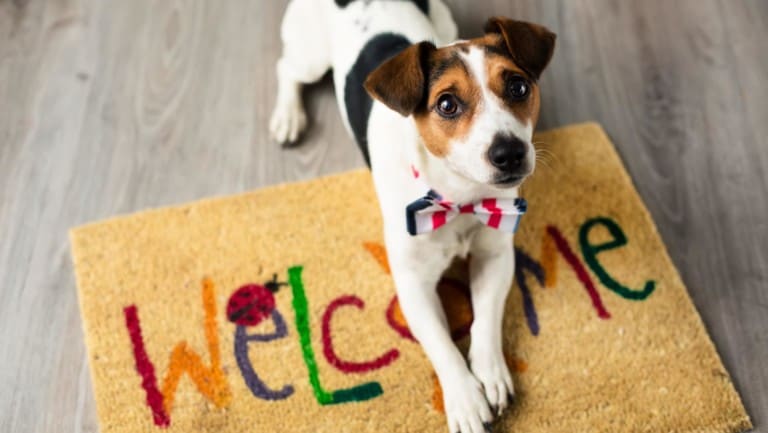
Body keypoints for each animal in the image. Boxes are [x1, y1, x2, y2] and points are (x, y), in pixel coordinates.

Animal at [272, 1, 556, 430]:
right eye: (447, 104)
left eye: (518, 87)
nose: (509, 152)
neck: (458, 196)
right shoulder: (413, 285)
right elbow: (441, 344)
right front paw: (465, 399)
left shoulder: (495, 256)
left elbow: (486, 318)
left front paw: (490, 372)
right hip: (311, 57)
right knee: (287, 68)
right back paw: (288, 116)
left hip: (444, 22)